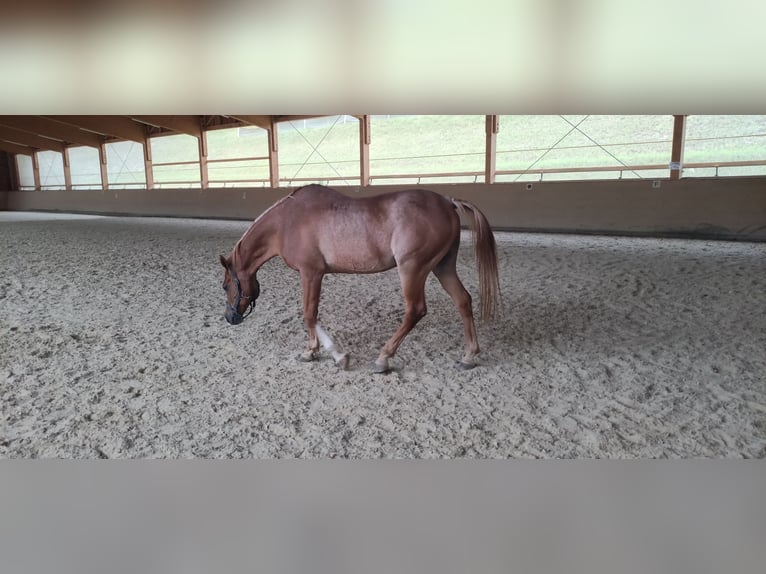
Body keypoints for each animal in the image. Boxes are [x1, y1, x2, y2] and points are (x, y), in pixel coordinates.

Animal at [219, 184, 500, 374]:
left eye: (225, 286)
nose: (230, 318)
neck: (286, 223)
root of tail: (447, 202)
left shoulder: (311, 273)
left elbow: (309, 315)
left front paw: (330, 355)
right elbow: (311, 316)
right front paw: (316, 352)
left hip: (412, 269)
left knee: (416, 310)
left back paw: (383, 358)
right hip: (443, 267)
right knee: (463, 300)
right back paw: (469, 355)